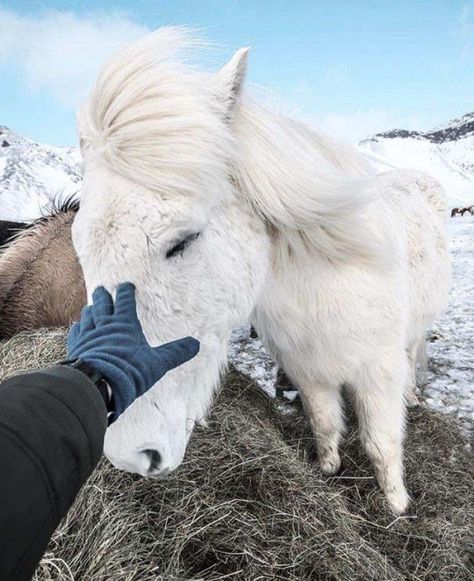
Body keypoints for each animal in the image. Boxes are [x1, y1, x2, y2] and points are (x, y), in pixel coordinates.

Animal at [72, 29, 450, 516]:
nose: (130, 453)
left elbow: (381, 443)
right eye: (79, 247)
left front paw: (397, 507)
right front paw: (328, 470)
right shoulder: (310, 370)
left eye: (182, 241)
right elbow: (324, 423)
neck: (326, 282)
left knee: (416, 349)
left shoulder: (377, 372)